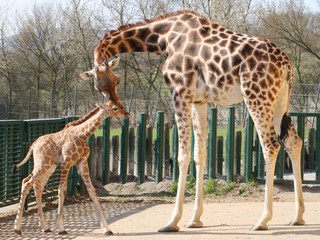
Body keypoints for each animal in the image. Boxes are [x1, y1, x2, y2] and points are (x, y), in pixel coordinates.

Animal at [12, 100, 129, 235]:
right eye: (115, 108)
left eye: (121, 105)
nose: (127, 114)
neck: (82, 135)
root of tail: (34, 144)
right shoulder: (66, 163)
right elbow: (62, 190)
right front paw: (61, 228)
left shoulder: (82, 162)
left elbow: (91, 190)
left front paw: (106, 229)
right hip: (42, 164)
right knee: (26, 182)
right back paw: (17, 228)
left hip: (49, 167)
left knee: (37, 186)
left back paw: (44, 227)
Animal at [79, 10, 304, 232]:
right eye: (100, 86)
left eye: (115, 81)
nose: (115, 105)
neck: (162, 38)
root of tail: (286, 63)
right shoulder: (199, 101)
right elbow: (200, 155)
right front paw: (195, 219)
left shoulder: (180, 93)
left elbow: (182, 156)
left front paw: (172, 221)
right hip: (279, 101)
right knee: (294, 142)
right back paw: (297, 217)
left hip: (257, 96)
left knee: (271, 145)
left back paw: (262, 220)